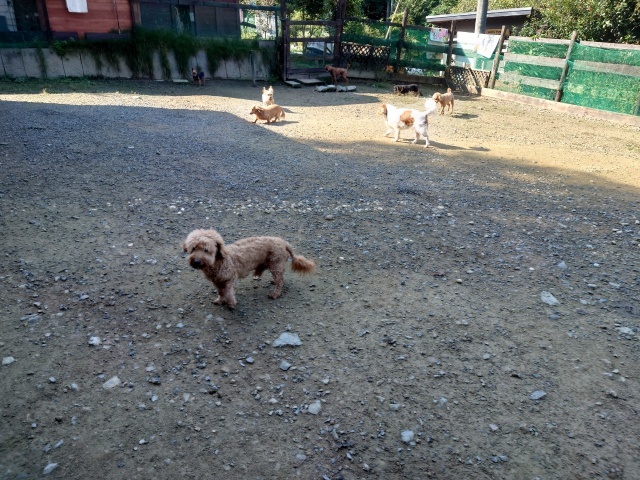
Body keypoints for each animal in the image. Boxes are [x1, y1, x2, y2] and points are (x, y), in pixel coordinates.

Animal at [182, 229, 316, 309]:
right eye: (193, 248)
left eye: (206, 250)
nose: (196, 261)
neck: (218, 262)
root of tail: (284, 242)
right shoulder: (217, 281)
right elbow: (221, 292)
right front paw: (220, 300)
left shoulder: (229, 279)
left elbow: (228, 292)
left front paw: (230, 303)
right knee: (278, 277)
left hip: (276, 264)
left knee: (280, 281)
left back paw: (275, 293)